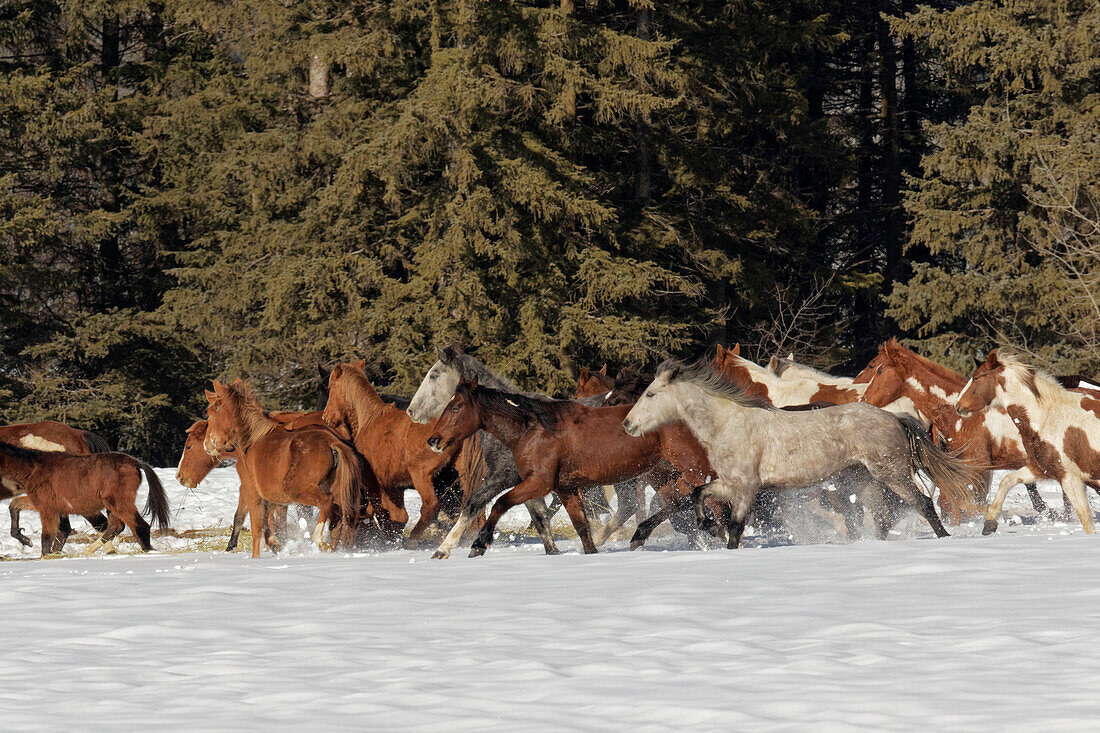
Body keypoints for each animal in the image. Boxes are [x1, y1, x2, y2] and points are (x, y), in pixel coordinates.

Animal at [0, 440, 169, 554]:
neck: (34, 468)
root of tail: (135, 462)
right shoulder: (49, 505)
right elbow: (14, 505)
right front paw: (25, 539)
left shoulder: (47, 509)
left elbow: (47, 538)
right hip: (113, 505)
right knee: (115, 527)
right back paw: (89, 551)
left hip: (119, 503)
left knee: (139, 526)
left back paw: (146, 552)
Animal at [202, 376, 365, 554]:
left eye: (214, 410)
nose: (208, 445)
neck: (253, 439)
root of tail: (332, 442)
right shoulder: (273, 498)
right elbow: (272, 523)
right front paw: (275, 544)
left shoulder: (251, 489)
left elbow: (254, 521)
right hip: (340, 495)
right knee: (344, 522)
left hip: (296, 489)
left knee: (327, 502)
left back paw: (320, 541)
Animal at [954, 347, 1100, 530]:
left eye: (976, 377)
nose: (958, 405)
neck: (1045, 418)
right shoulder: (1041, 469)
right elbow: (1007, 481)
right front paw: (990, 523)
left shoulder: (1071, 478)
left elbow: (1086, 520)